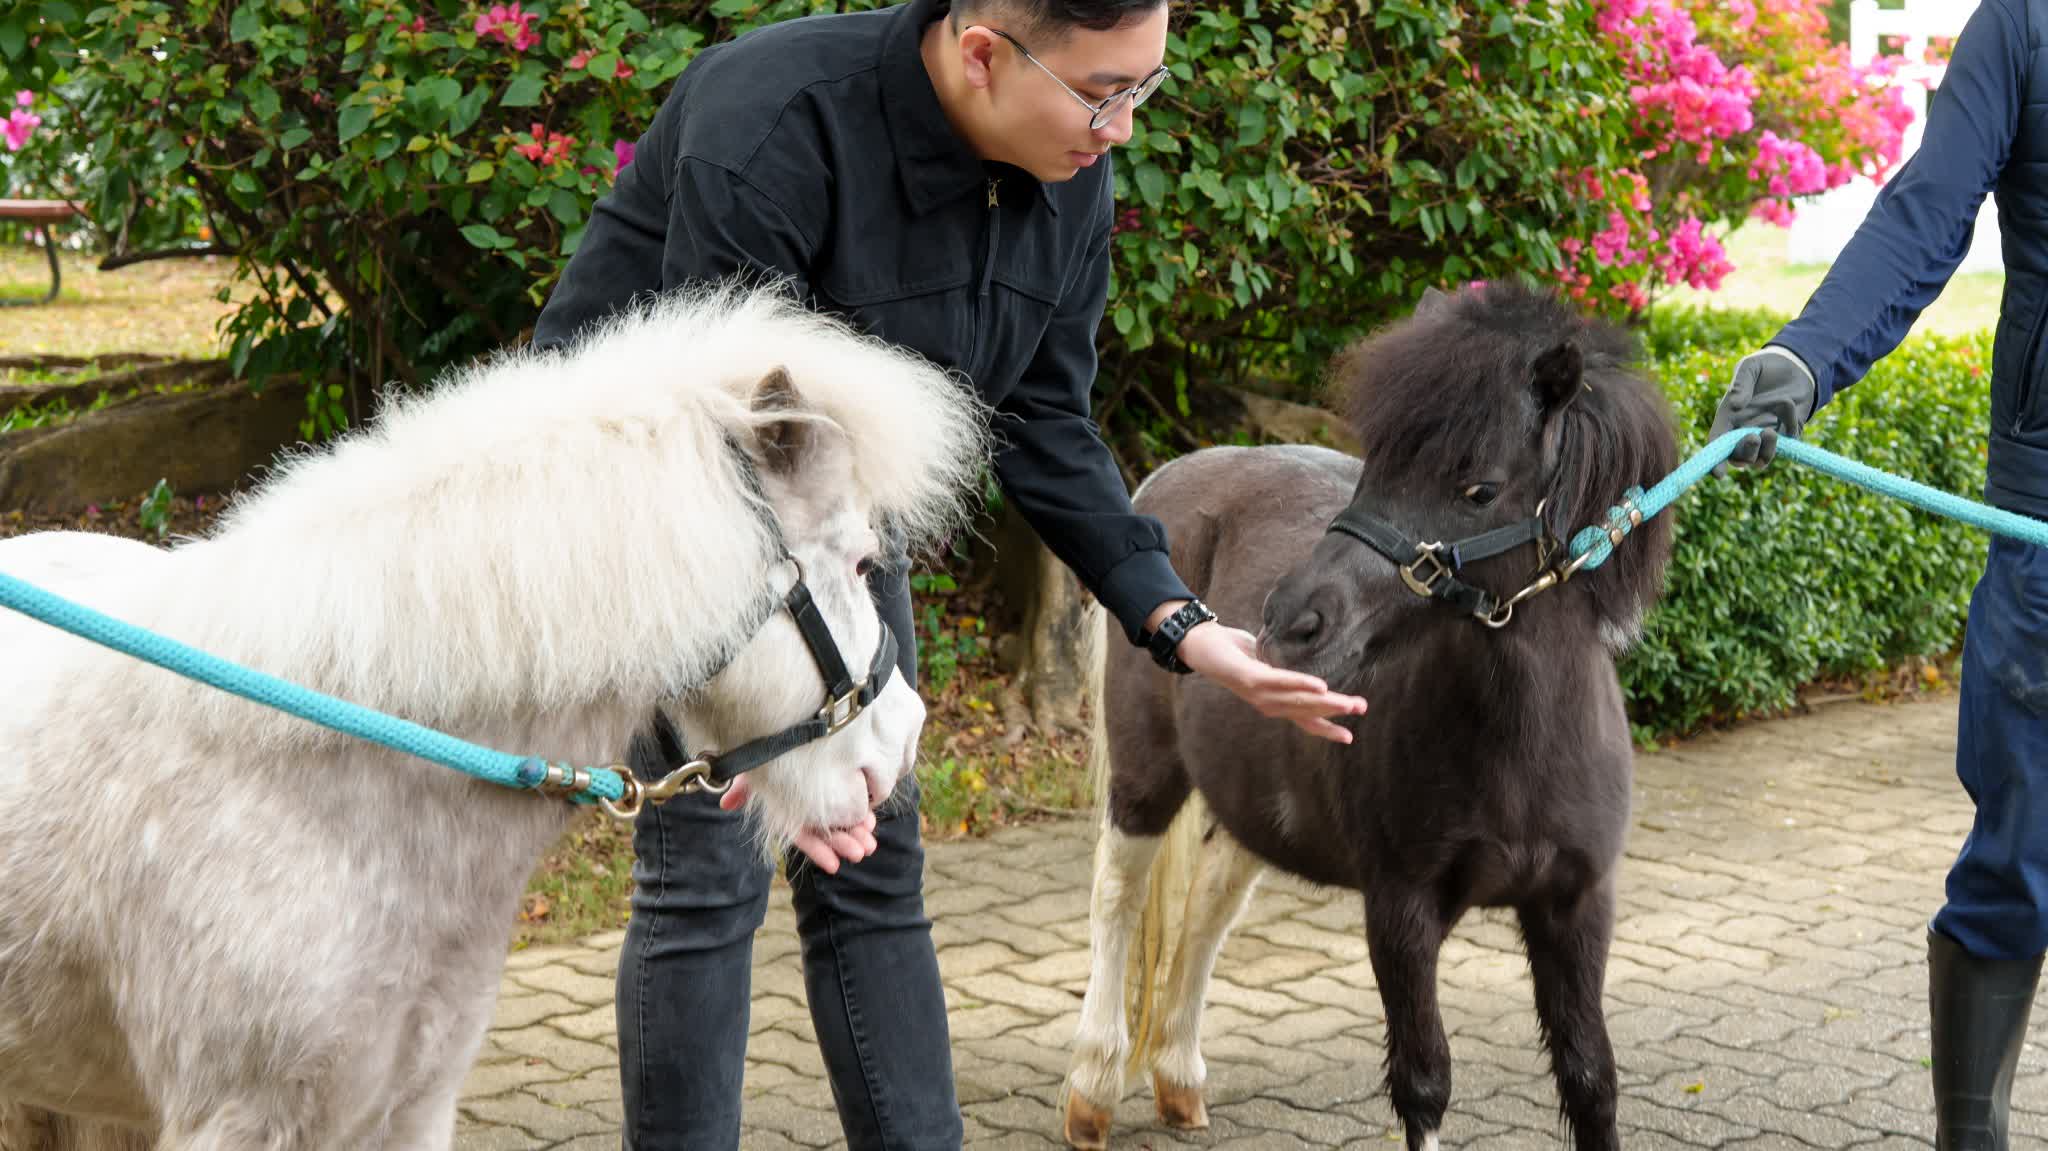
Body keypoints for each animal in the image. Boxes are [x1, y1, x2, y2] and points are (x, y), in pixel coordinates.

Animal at [1060, 281, 1678, 1151]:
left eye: (1479, 488)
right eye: (1375, 469)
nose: (1291, 621)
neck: (1516, 750)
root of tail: (1168, 484)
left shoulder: (1577, 905)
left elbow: (1590, 1078)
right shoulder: (1400, 910)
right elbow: (1424, 1082)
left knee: (1211, 898)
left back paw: (1179, 1075)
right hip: (1146, 776)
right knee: (1118, 896)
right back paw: (1093, 1085)